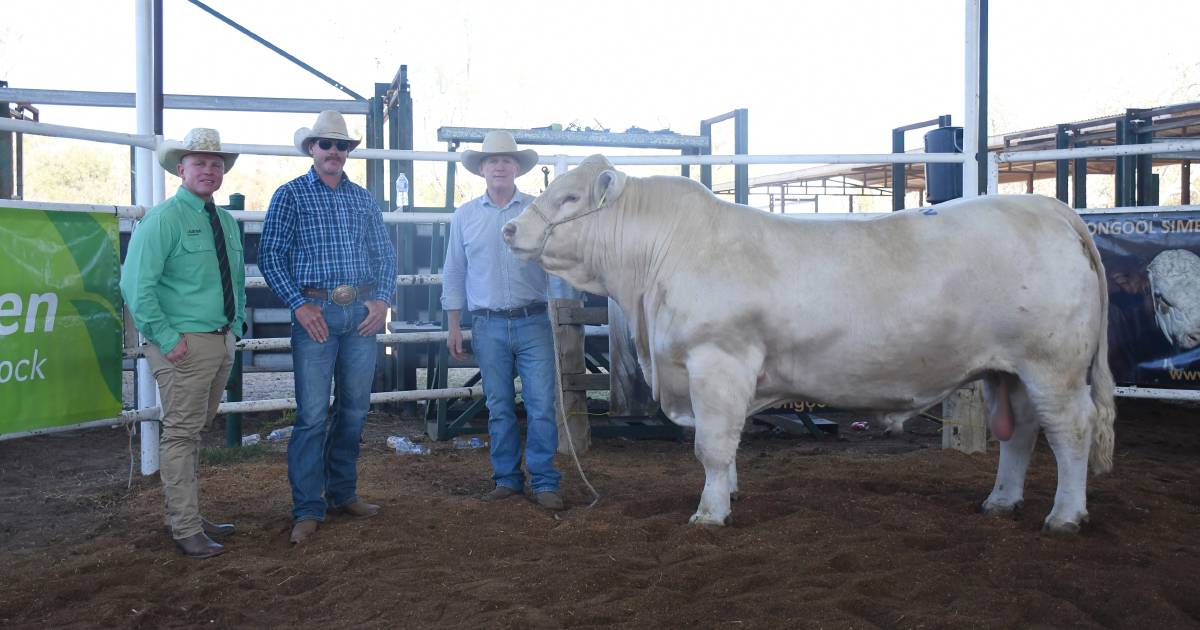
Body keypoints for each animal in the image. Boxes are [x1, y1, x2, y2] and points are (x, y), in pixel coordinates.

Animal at [504, 154, 1113, 528]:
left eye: (570, 197)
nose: (510, 229)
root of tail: (1053, 209)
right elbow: (727, 445)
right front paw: (729, 492)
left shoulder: (716, 360)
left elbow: (712, 444)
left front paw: (709, 513)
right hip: (1008, 370)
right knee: (1022, 434)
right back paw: (1001, 501)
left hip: (1053, 366)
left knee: (1071, 431)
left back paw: (1065, 516)